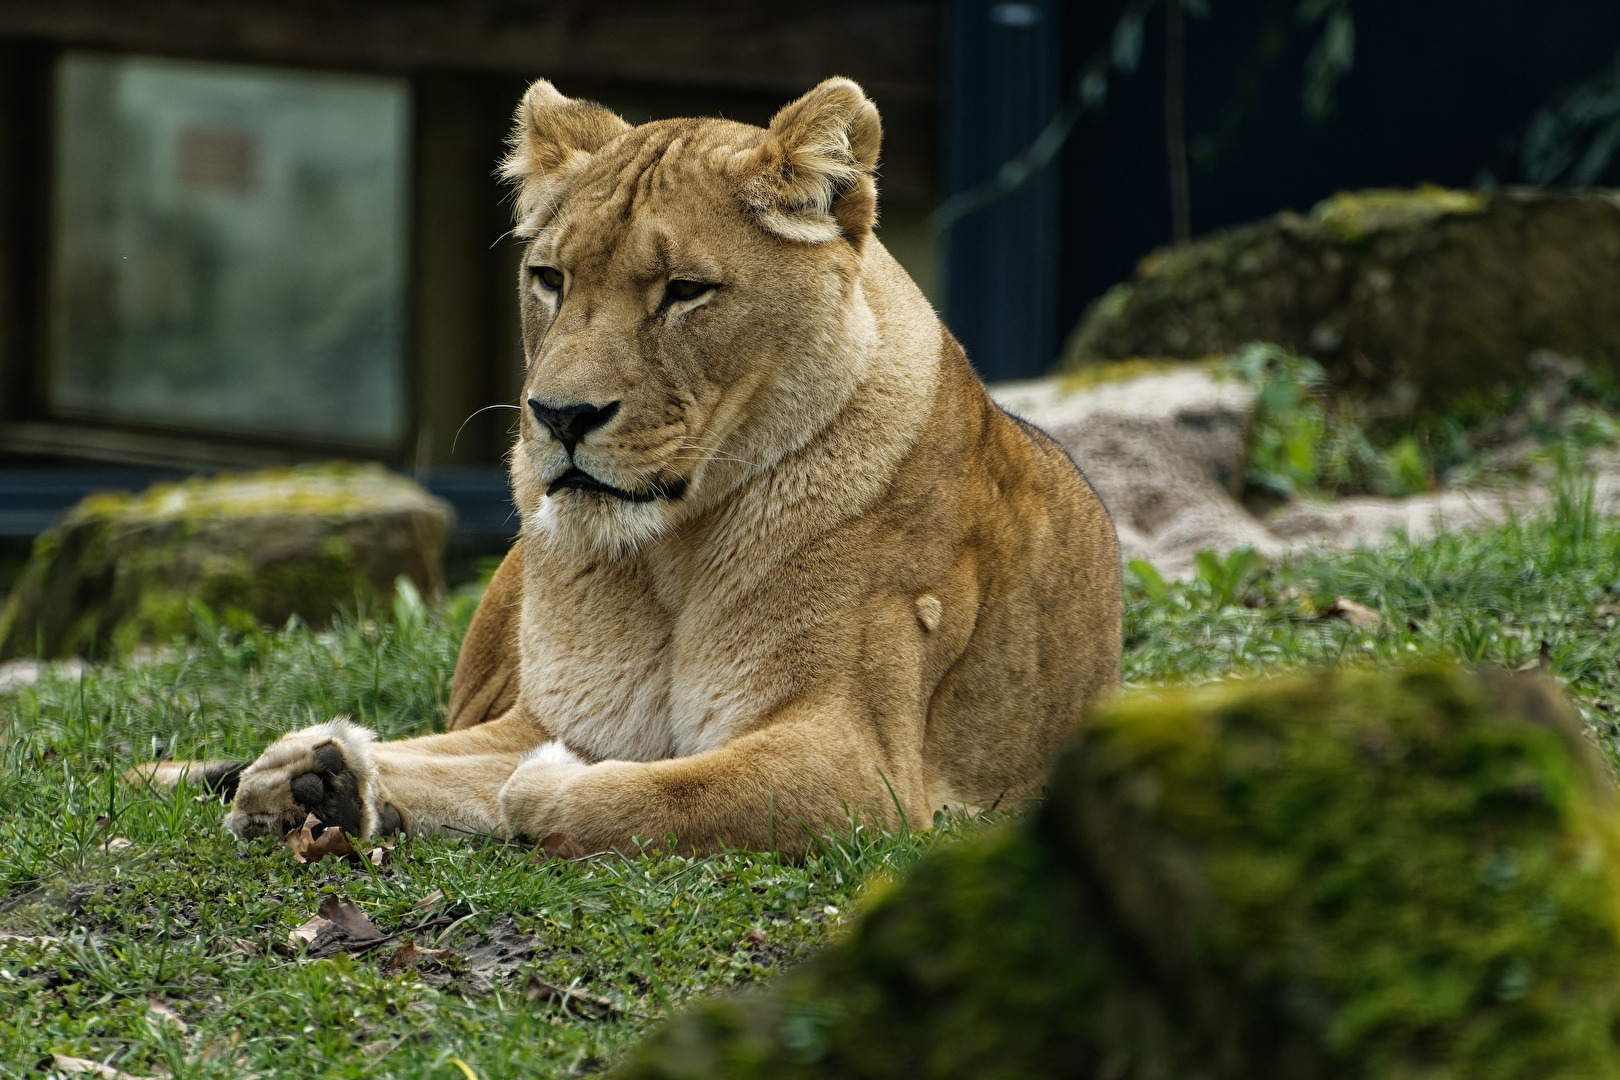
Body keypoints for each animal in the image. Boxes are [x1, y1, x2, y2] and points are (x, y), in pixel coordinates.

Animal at [145, 76, 1122, 855]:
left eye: (685, 292)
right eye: (550, 279)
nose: (560, 416)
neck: (670, 555)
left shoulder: (860, 762)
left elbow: (638, 794)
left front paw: (524, 788)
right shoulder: (549, 717)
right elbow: (439, 765)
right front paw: (309, 781)